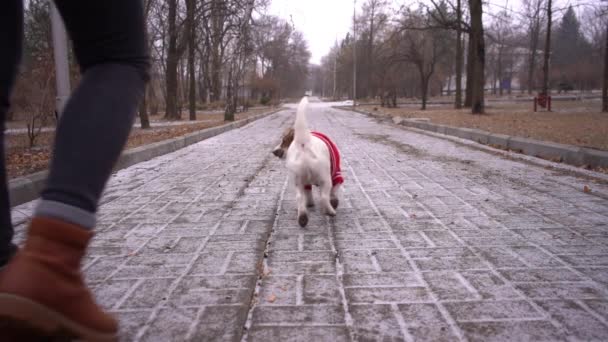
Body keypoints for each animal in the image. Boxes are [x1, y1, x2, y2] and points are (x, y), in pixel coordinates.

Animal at [274, 97, 344, 227]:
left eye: (284, 141)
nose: (274, 152)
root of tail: (304, 143)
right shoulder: (336, 175)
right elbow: (334, 192)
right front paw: (334, 201)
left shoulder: (305, 183)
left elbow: (308, 193)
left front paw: (310, 203)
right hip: (325, 179)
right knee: (324, 197)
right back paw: (330, 211)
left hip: (297, 180)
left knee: (300, 197)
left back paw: (302, 216)